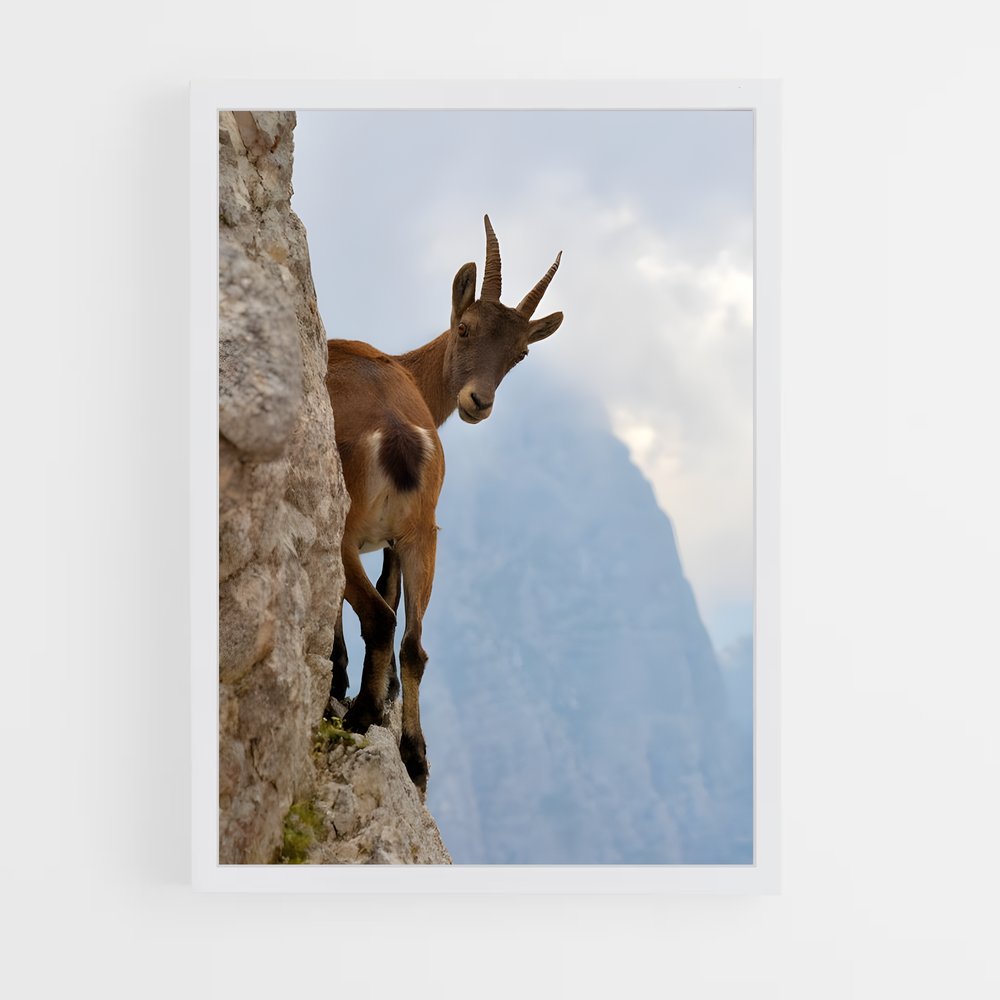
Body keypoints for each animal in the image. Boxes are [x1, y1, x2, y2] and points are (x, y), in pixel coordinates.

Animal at [325, 215, 564, 792]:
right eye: (466, 329)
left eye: (520, 353)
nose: (479, 401)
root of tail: (396, 436)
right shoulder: (396, 540)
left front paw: (341, 680)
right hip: (424, 535)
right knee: (414, 642)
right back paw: (413, 756)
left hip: (346, 531)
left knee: (380, 618)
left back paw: (361, 716)